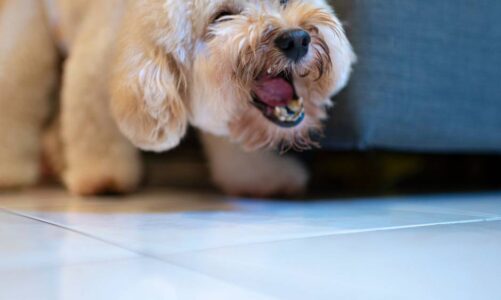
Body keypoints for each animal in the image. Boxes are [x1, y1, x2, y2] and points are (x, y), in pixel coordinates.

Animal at [0, 0, 354, 197]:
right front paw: (103, 179)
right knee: (17, 94)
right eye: (222, 15)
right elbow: (94, 129)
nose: (297, 39)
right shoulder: (93, 71)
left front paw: (263, 178)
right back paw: (12, 173)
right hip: (28, 36)